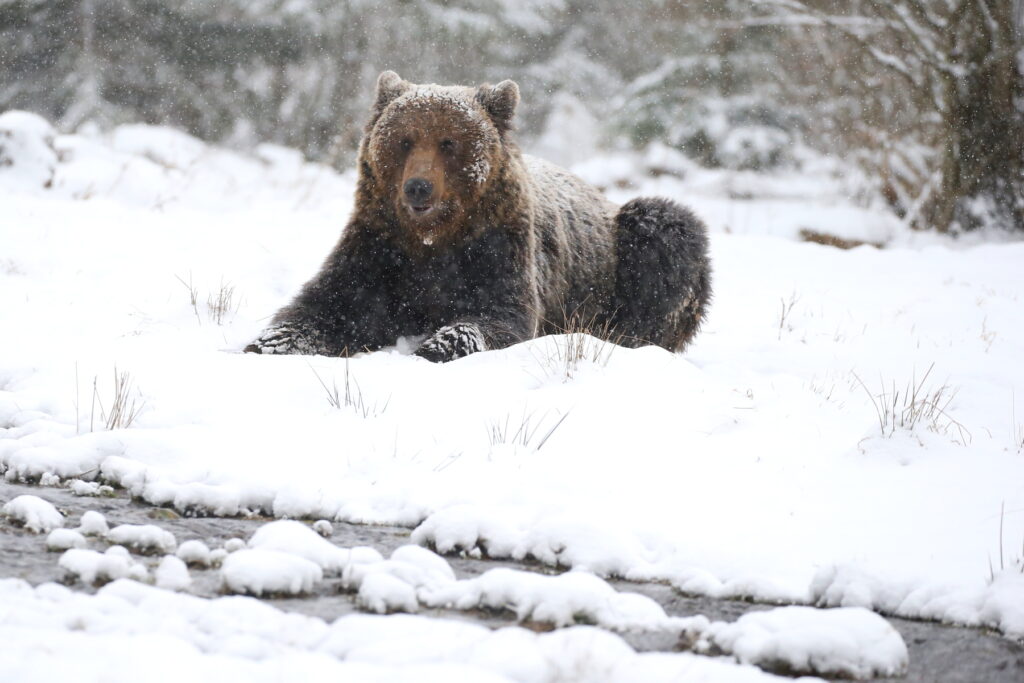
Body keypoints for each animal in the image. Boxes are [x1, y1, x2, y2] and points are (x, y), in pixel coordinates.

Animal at [245, 71, 711, 362]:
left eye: (448, 142)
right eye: (404, 140)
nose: (418, 187)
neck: (434, 239)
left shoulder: (496, 248)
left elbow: (498, 316)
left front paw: (434, 347)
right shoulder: (380, 247)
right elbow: (332, 304)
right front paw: (267, 344)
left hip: (619, 252)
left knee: (665, 236)